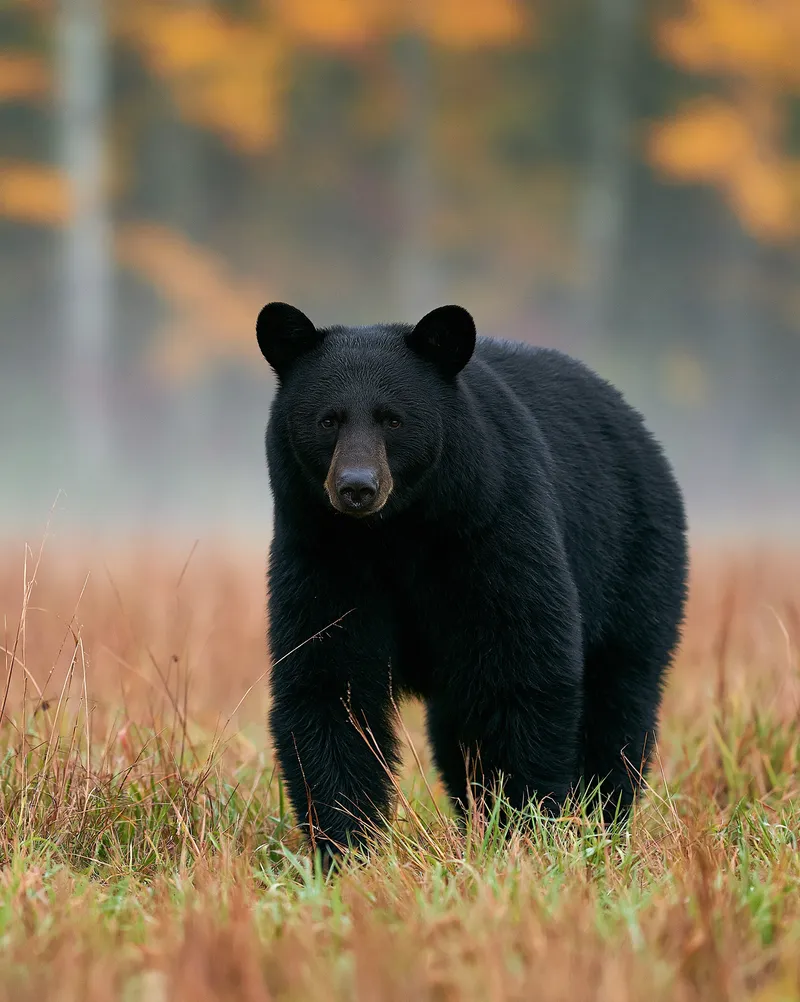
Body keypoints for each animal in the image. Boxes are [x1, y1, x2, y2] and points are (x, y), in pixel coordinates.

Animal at [256, 301, 688, 860]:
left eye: (393, 418)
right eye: (327, 419)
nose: (356, 487)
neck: (395, 533)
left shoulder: (492, 528)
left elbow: (519, 672)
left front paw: (521, 828)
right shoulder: (321, 551)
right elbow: (328, 680)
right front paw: (345, 843)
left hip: (633, 561)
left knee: (619, 699)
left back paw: (603, 819)